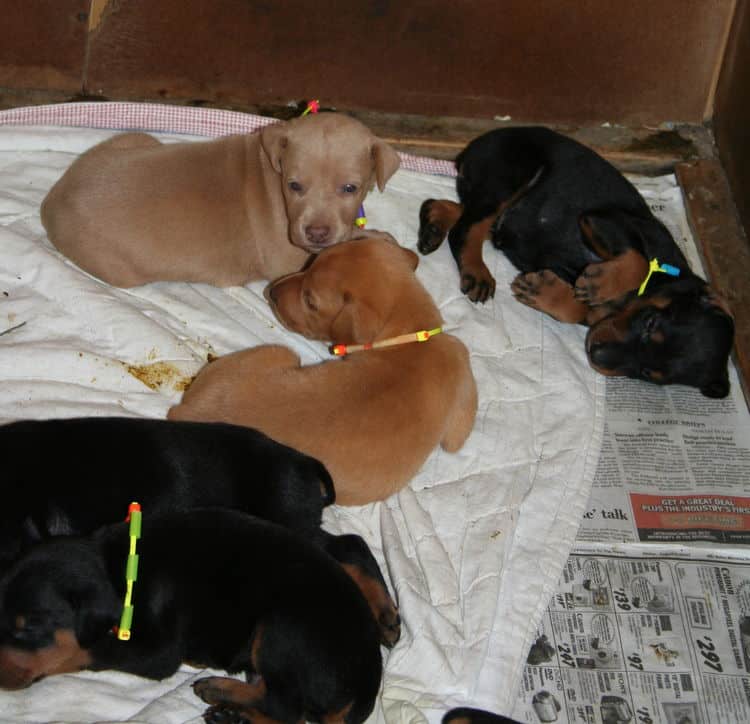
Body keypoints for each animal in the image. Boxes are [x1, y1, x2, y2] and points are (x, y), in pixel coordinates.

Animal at [0, 510, 382, 724]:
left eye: (30, 627)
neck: (116, 566)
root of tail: (365, 687)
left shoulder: (156, 653)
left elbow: (85, 650)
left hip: (281, 630)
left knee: (286, 708)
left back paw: (222, 694)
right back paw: (229, 710)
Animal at [41, 113, 402, 286]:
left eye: (350, 188)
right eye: (295, 185)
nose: (316, 233)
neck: (271, 170)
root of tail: (51, 203)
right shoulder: (288, 258)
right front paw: (378, 237)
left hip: (135, 139)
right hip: (121, 272)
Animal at [168, 233, 478, 504]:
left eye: (310, 301)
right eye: (311, 261)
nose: (271, 292)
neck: (409, 339)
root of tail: (188, 412)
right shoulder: (460, 360)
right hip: (282, 351)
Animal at [420, 124, 736, 396]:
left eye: (647, 373)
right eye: (651, 324)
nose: (595, 354)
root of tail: (471, 148)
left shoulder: (594, 316)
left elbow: (576, 309)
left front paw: (544, 290)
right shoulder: (608, 219)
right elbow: (639, 260)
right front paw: (599, 284)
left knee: (462, 212)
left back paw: (433, 221)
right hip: (509, 173)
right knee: (466, 228)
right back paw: (475, 270)